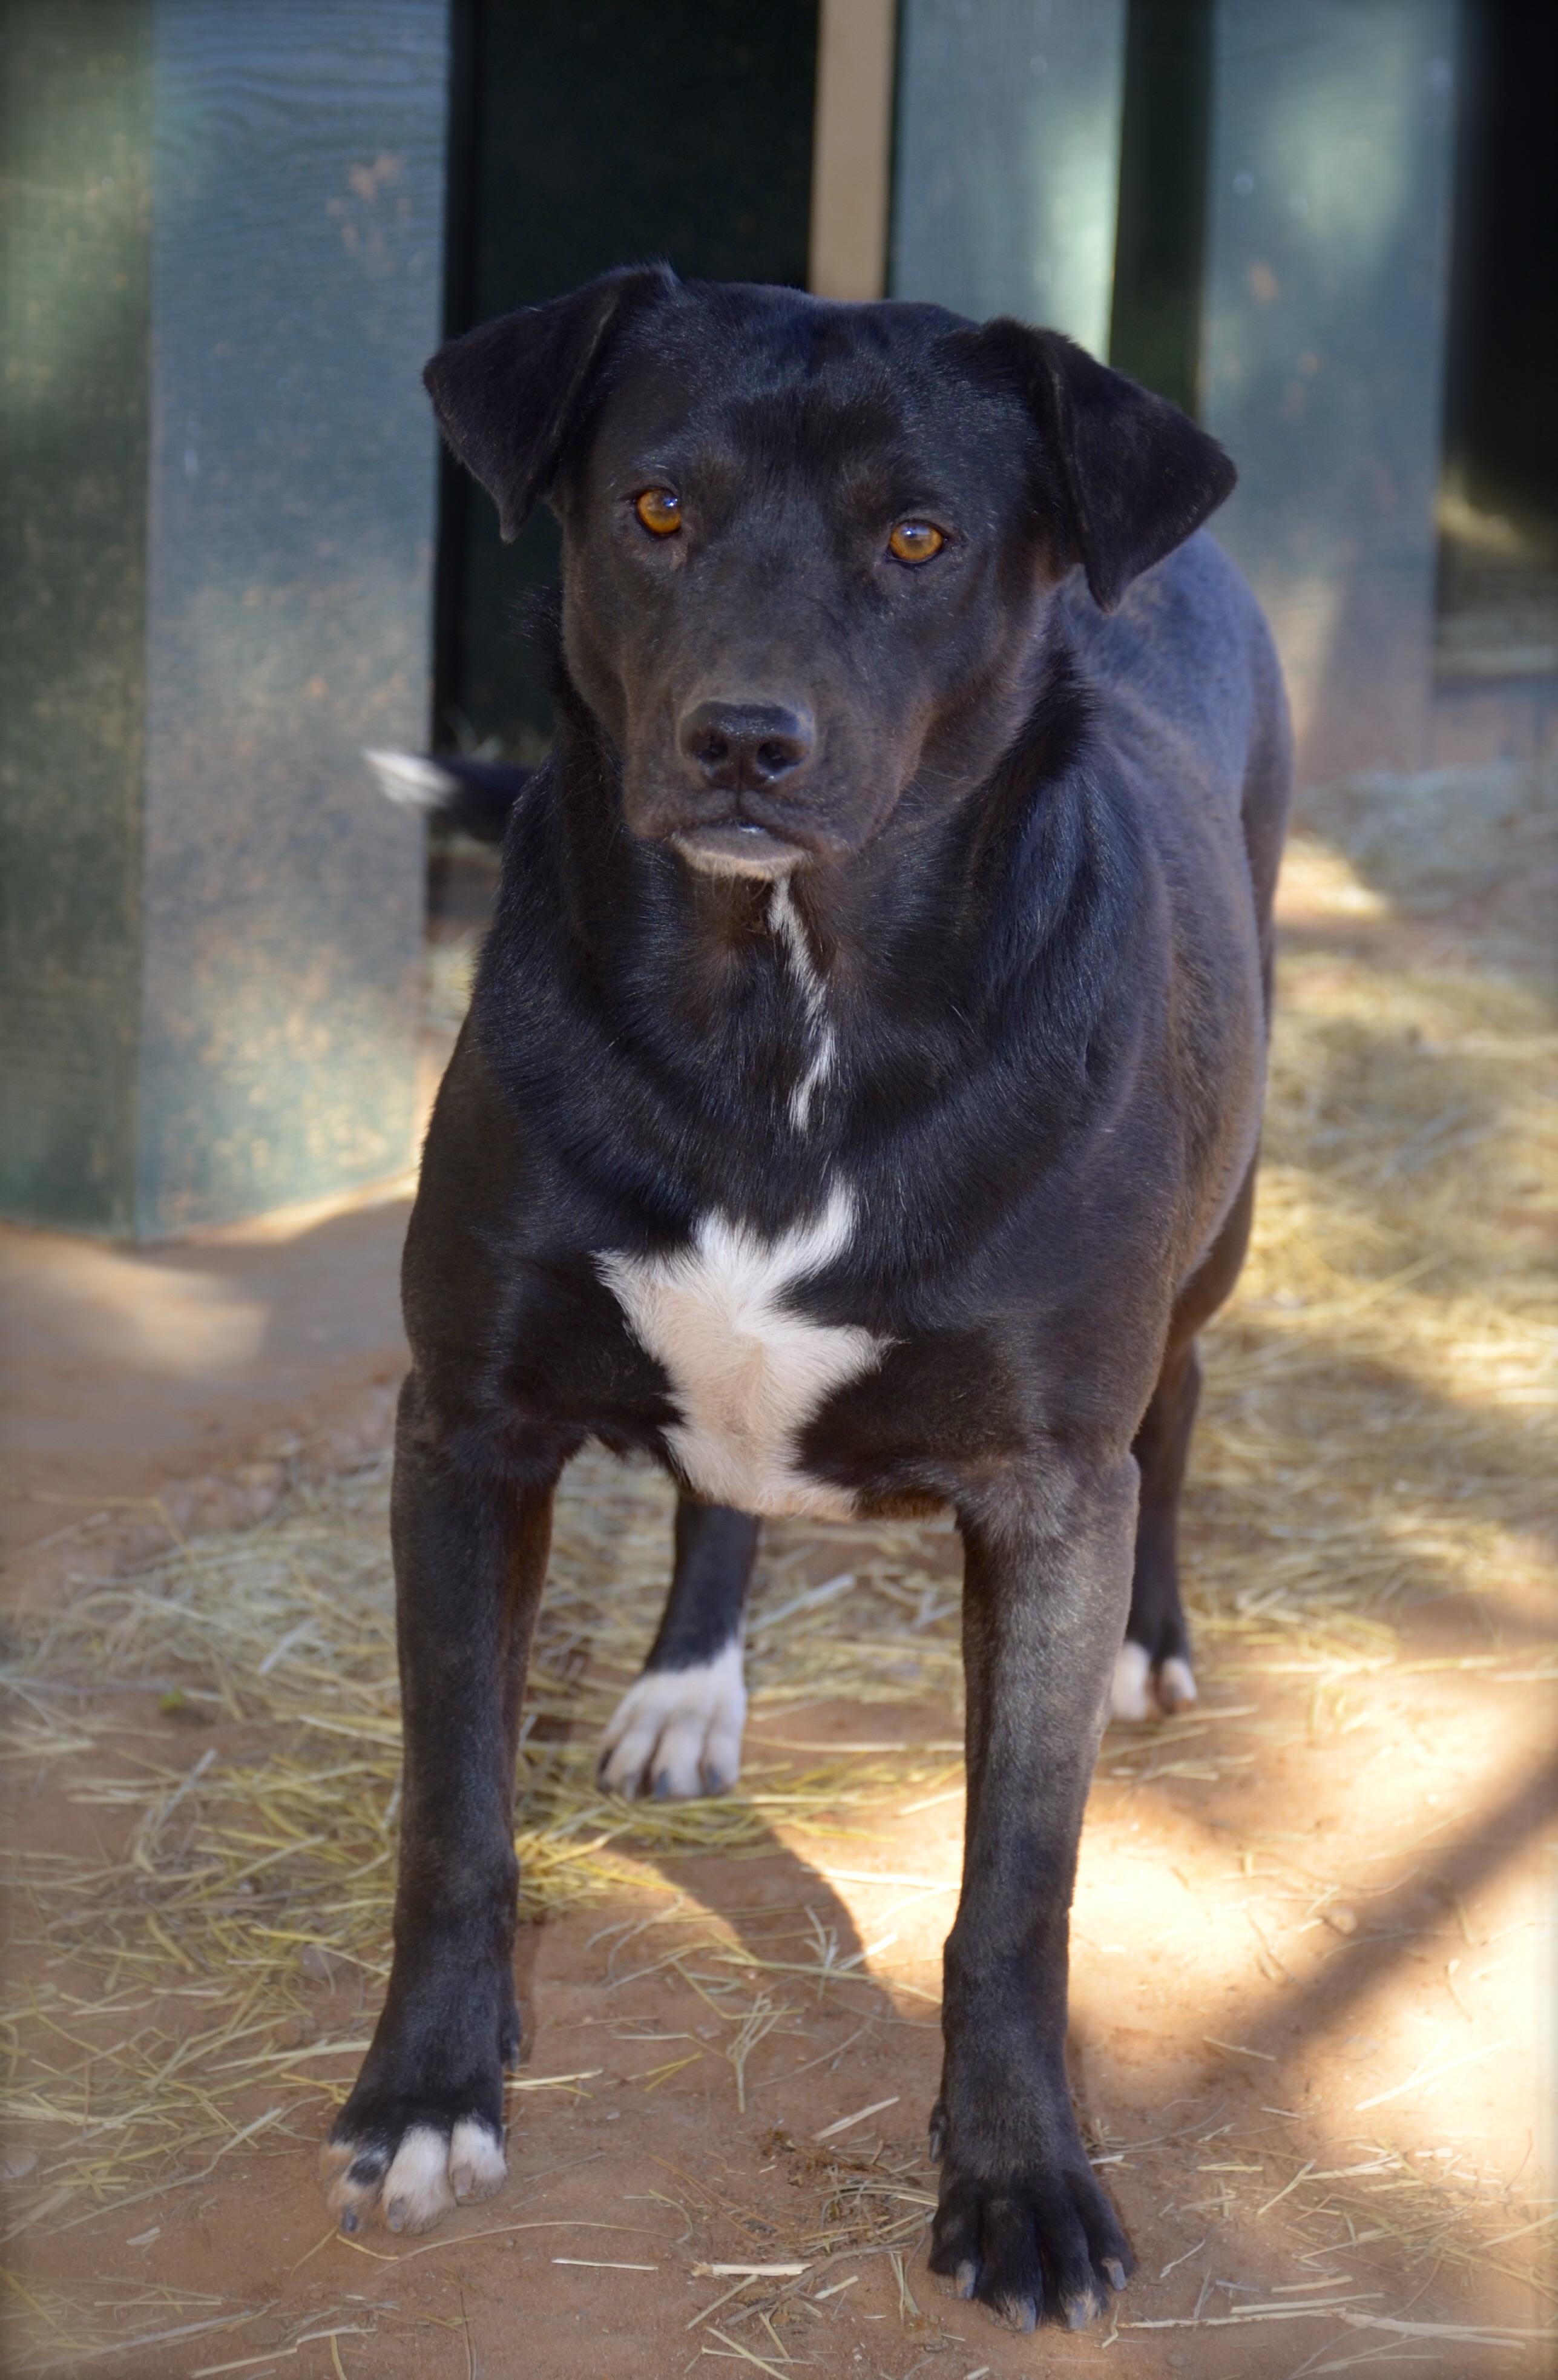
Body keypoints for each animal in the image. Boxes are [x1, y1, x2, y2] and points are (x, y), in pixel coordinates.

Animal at [328, 270, 1293, 2332]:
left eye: (919, 540)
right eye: (655, 508)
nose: (742, 742)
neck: (779, 1007)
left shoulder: (1047, 1482)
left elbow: (1016, 1889)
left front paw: (1021, 2180)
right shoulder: (465, 1426)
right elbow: (454, 1814)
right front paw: (429, 2091)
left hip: (1215, 1237)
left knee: (1177, 1406)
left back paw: (1151, 1642)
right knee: (725, 1484)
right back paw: (691, 1681)